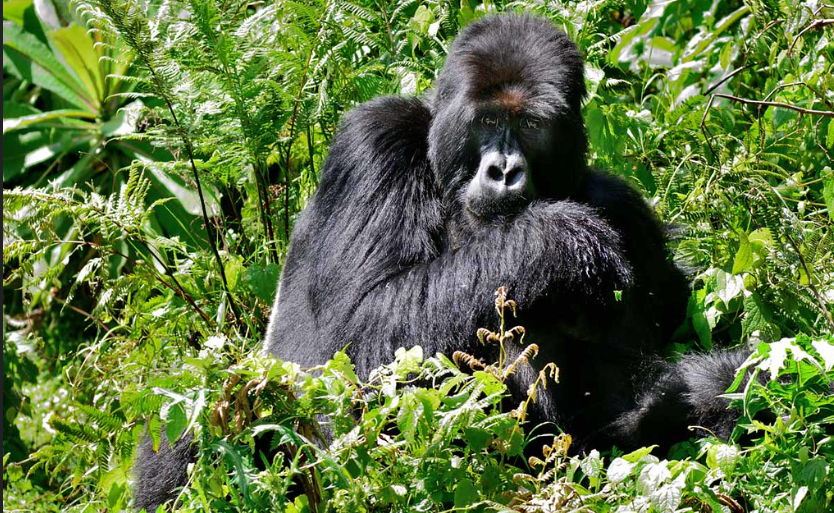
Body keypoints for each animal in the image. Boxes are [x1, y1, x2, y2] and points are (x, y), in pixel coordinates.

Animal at [132, 13, 748, 512]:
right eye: (485, 123)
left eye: (531, 126)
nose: (504, 171)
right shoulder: (374, 140)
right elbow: (358, 333)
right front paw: (558, 242)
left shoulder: (625, 210)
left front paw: (713, 388)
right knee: (207, 411)